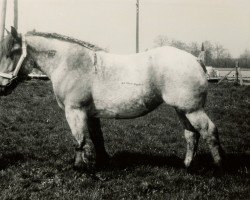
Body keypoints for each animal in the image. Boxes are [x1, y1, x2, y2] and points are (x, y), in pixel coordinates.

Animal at [0, 26, 223, 170]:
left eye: (13, 52)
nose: (1, 87)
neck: (71, 63)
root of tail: (195, 59)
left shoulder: (75, 111)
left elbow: (79, 138)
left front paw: (80, 167)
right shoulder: (90, 115)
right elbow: (96, 138)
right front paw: (103, 162)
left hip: (192, 110)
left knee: (209, 131)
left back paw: (219, 166)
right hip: (182, 110)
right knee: (191, 135)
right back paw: (187, 165)